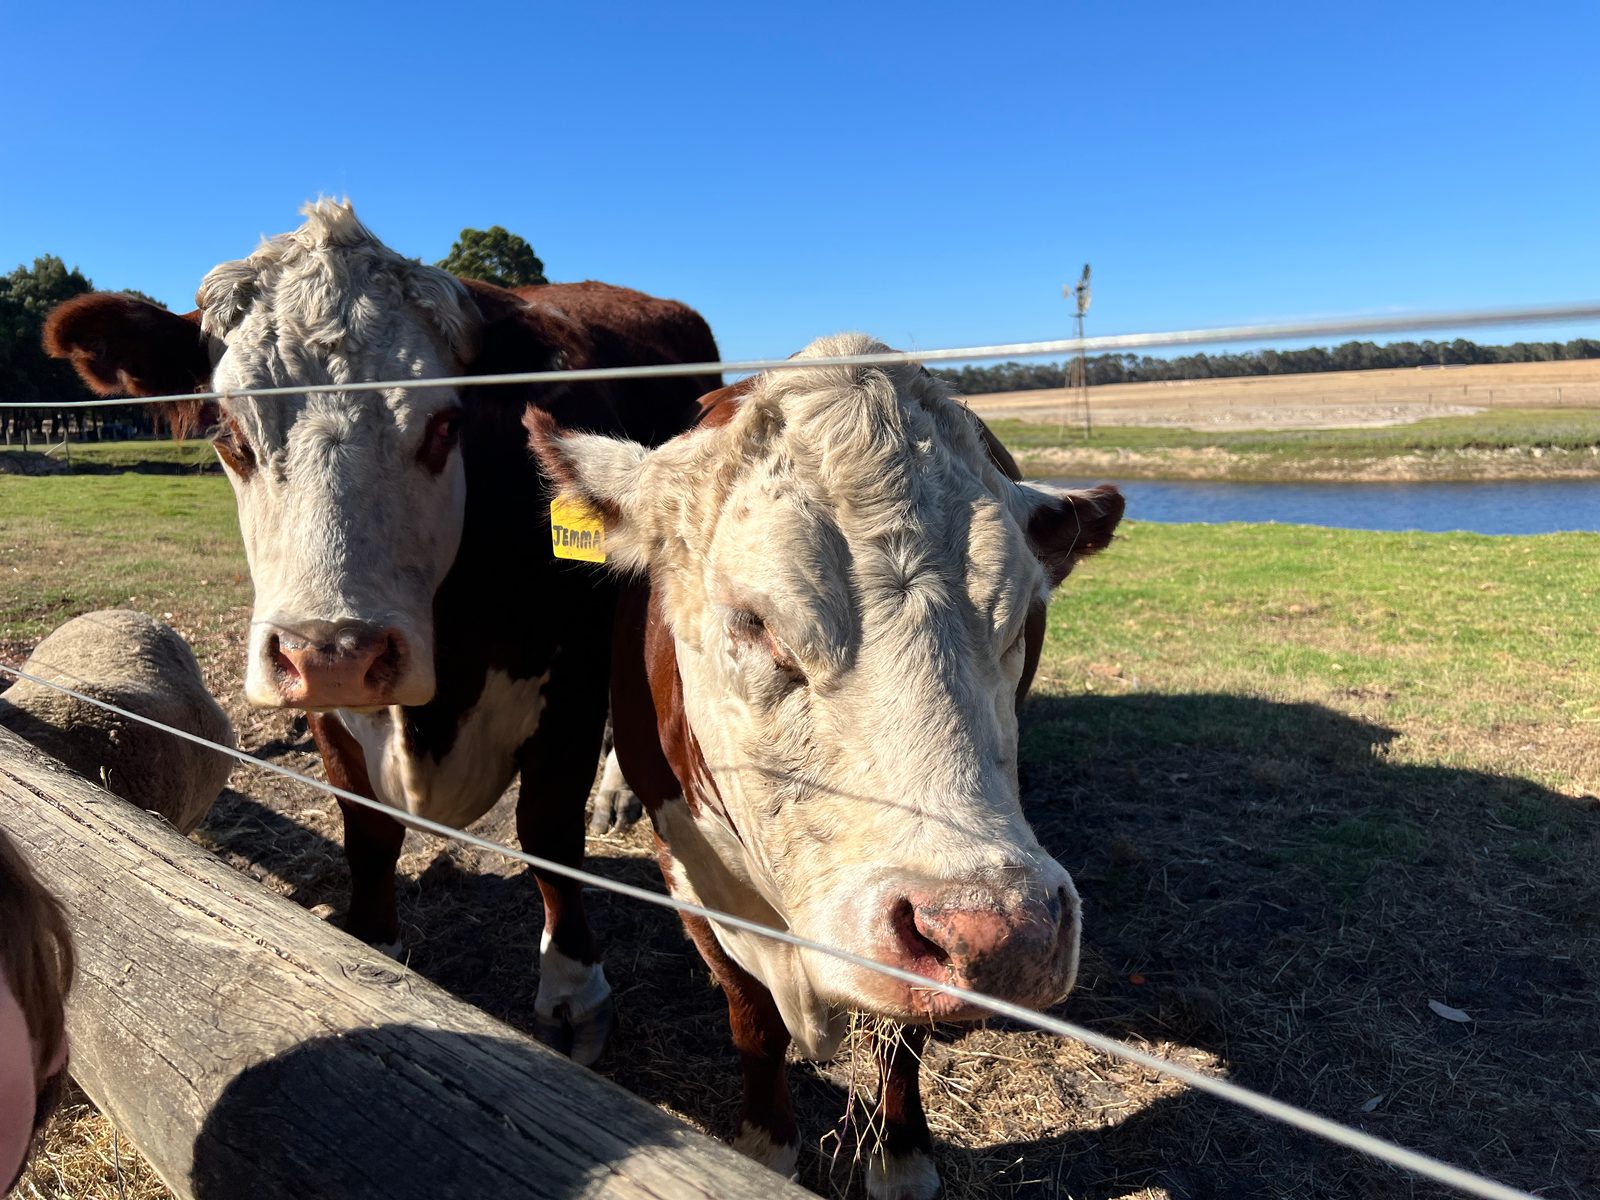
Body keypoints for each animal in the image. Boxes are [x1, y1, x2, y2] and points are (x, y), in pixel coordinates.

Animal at [43, 201, 718, 1064]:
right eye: (230, 435)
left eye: (443, 426)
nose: (337, 651)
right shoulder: (329, 708)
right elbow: (366, 831)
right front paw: (373, 942)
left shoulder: (570, 677)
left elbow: (548, 832)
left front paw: (573, 990)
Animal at [527, 335, 1124, 1198]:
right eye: (753, 621)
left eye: (1020, 621)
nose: (1003, 933)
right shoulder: (688, 871)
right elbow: (753, 1023)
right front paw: (765, 1147)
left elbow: (902, 1038)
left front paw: (903, 1160)